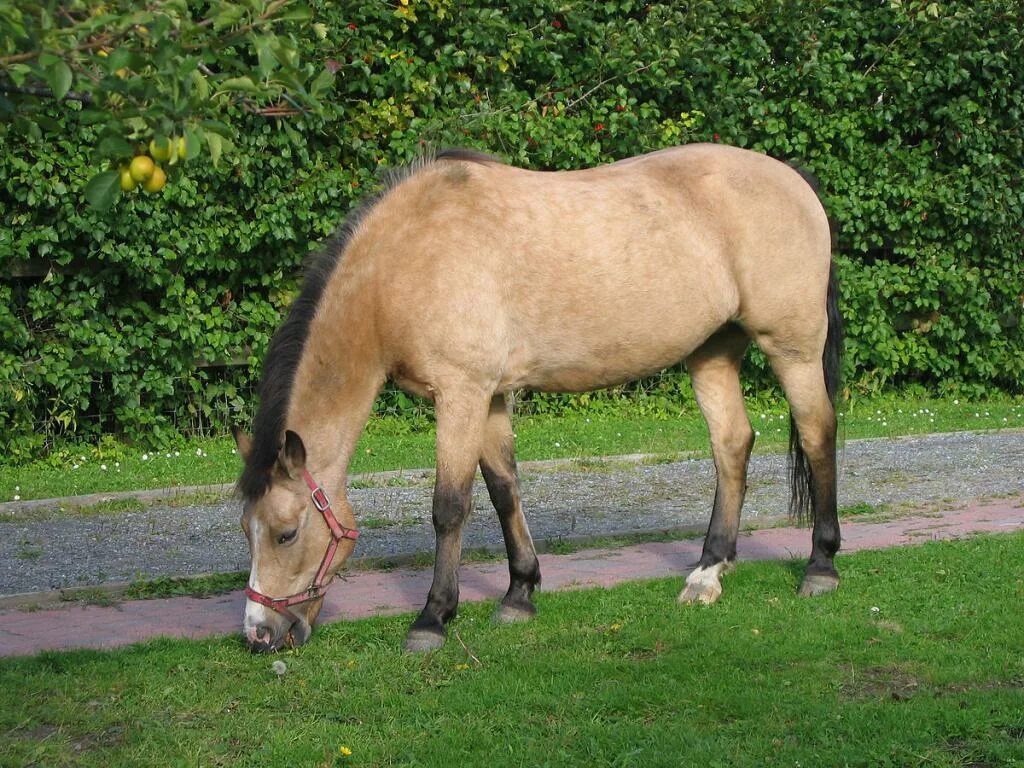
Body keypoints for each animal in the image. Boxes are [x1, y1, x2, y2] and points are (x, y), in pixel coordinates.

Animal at [235, 145, 843, 655]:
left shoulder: (460, 393)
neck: (405, 262)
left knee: (817, 433)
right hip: (712, 352)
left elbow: (449, 506)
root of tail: (795, 180)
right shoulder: (489, 397)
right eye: (247, 532)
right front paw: (519, 594)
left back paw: (821, 567)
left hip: (792, 347)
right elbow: (504, 490)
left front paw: (433, 618)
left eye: (287, 533)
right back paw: (708, 572)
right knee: (732, 445)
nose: (259, 634)